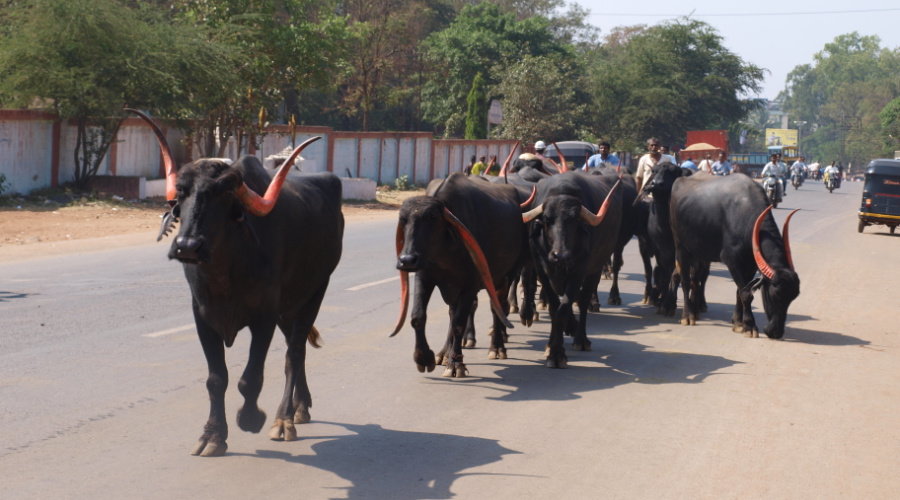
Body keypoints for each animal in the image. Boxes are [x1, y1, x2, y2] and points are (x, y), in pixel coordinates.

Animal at [130, 109, 344, 458]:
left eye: (225, 193)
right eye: (182, 193)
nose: (188, 246)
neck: (224, 276)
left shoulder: (264, 317)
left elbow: (251, 378)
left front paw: (251, 418)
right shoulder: (203, 318)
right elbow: (217, 378)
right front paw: (213, 436)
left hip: (315, 291)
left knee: (294, 353)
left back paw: (284, 420)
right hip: (288, 309)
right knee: (295, 349)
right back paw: (301, 406)